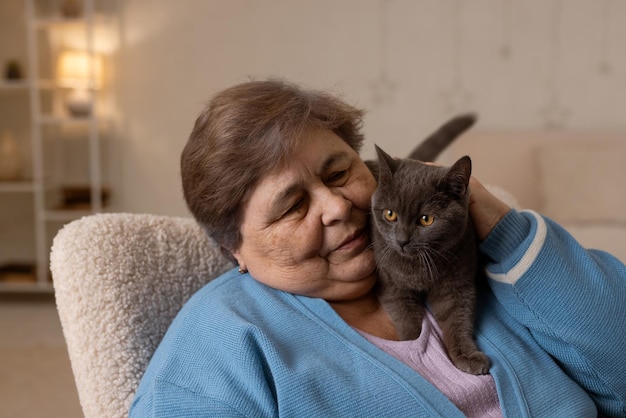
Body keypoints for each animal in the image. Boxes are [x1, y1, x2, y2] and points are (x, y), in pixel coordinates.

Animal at [368, 144, 490, 376]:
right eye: (390, 214)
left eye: (426, 219)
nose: (402, 240)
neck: (418, 267)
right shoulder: (391, 285)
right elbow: (407, 318)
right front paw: (411, 343)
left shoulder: (456, 285)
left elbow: (458, 320)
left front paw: (468, 356)